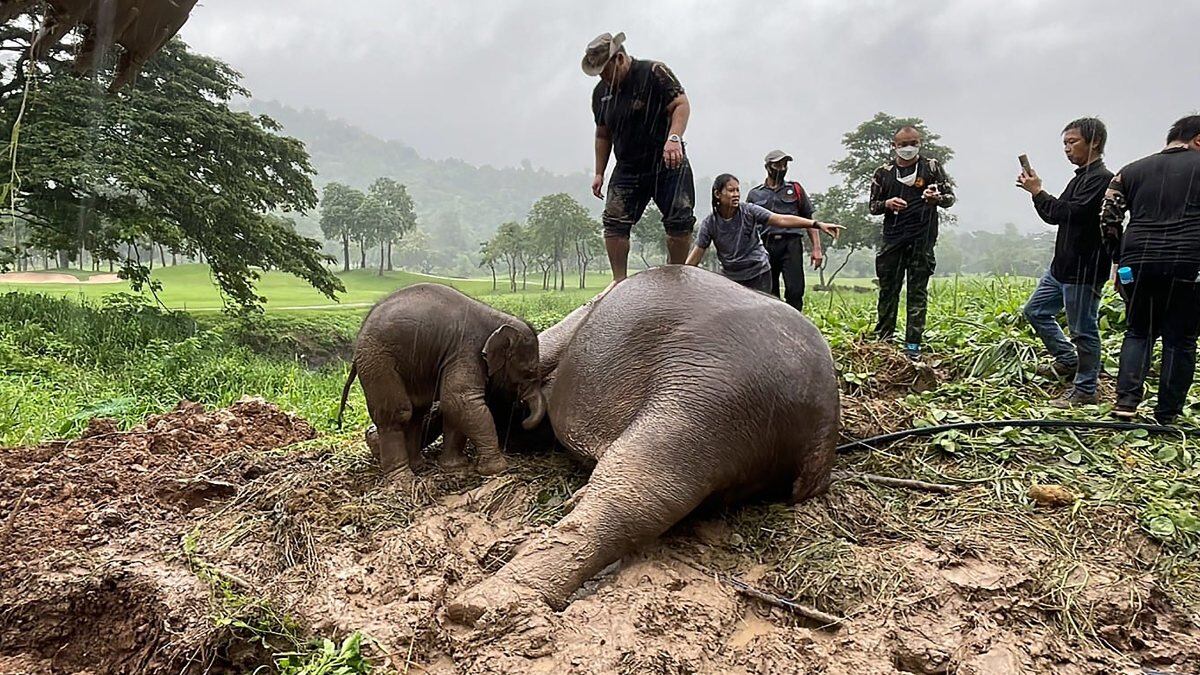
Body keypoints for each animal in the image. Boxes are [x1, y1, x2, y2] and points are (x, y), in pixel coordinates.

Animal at [336, 282, 547, 473]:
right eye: (529, 372)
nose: (523, 421)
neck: (497, 318)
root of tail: (357, 344)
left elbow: (452, 406)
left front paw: (455, 466)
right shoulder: (467, 350)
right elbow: (459, 399)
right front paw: (497, 469)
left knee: (417, 411)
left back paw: (418, 466)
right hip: (378, 360)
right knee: (398, 413)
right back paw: (403, 479)